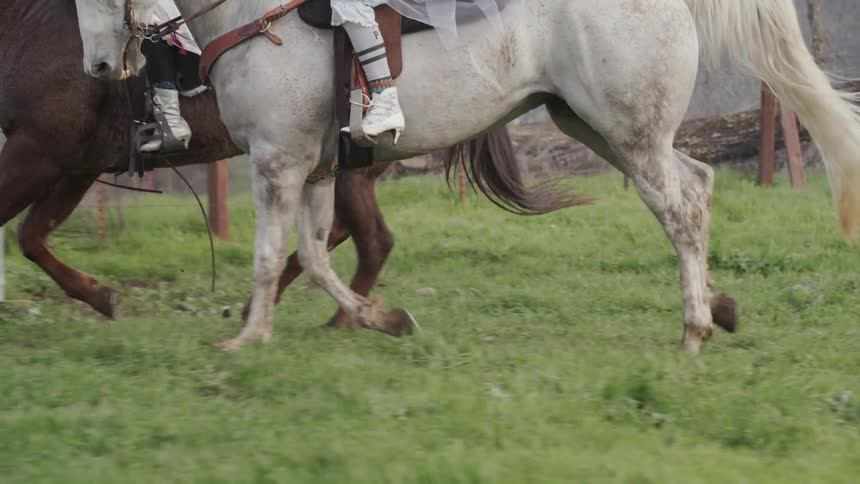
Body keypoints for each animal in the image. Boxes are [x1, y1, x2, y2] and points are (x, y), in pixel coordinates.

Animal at [73, 0, 860, 354]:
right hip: (603, 130)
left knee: (681, 212)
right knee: (696, 185)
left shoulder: (277, 161)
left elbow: (272, 257)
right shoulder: (317, 167)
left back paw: (695, 328)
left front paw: (249, 338)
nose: (100, 67)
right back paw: (716, 308)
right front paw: (382, 318)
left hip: (631, 137)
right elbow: (314, 257)